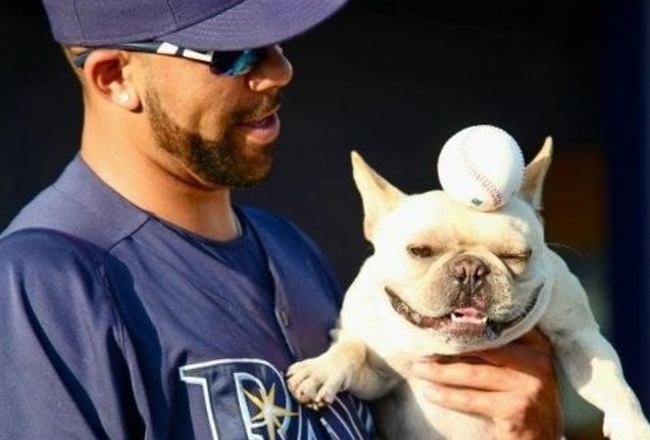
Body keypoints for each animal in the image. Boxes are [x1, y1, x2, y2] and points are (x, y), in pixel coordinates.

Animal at [288, 139, 648, 438]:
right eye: (419, 251)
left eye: (516, 256)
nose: (470, 269)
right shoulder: (378, 377)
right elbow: (353, 349)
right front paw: (321, 370)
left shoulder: (578, 336)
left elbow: (611, 379)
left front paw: (633, 425)